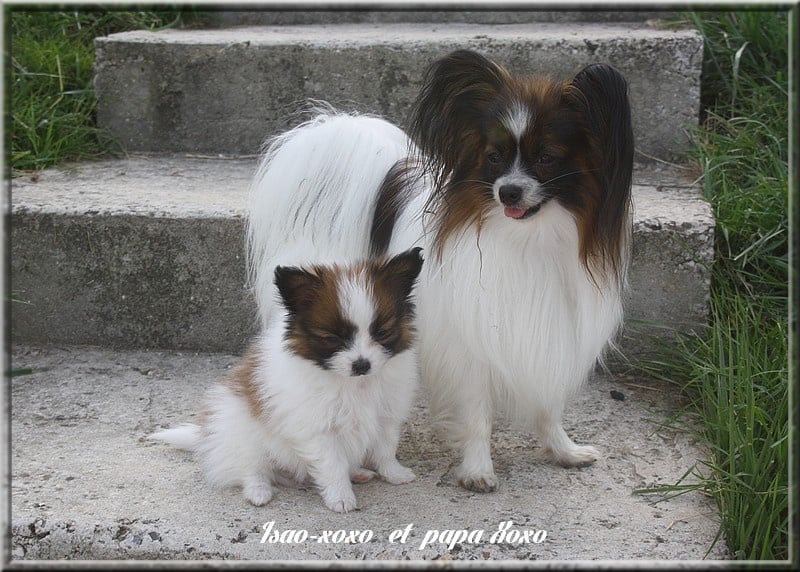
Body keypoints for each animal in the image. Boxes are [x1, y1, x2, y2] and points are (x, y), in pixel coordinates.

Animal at [152, 248, 424, 512]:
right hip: (241, 432)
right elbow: (332, 465)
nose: (362, 364)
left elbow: (385, 450)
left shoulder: (386, 416)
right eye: (332, 339)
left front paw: (394, 473)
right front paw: (340, 497)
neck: (353, 383)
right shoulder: (319, 430)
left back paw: (357, 472)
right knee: (251, 467)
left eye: (382, 333)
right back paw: (258, 491)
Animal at [247, 50, 636, 492]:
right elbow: (478, 414)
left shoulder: (548, 334)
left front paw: (564, 450)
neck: (528, 239)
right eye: (493, 156)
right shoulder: (470, 346)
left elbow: (548, 406)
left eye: (546, 157)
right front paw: (478, 469)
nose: (508, 192)